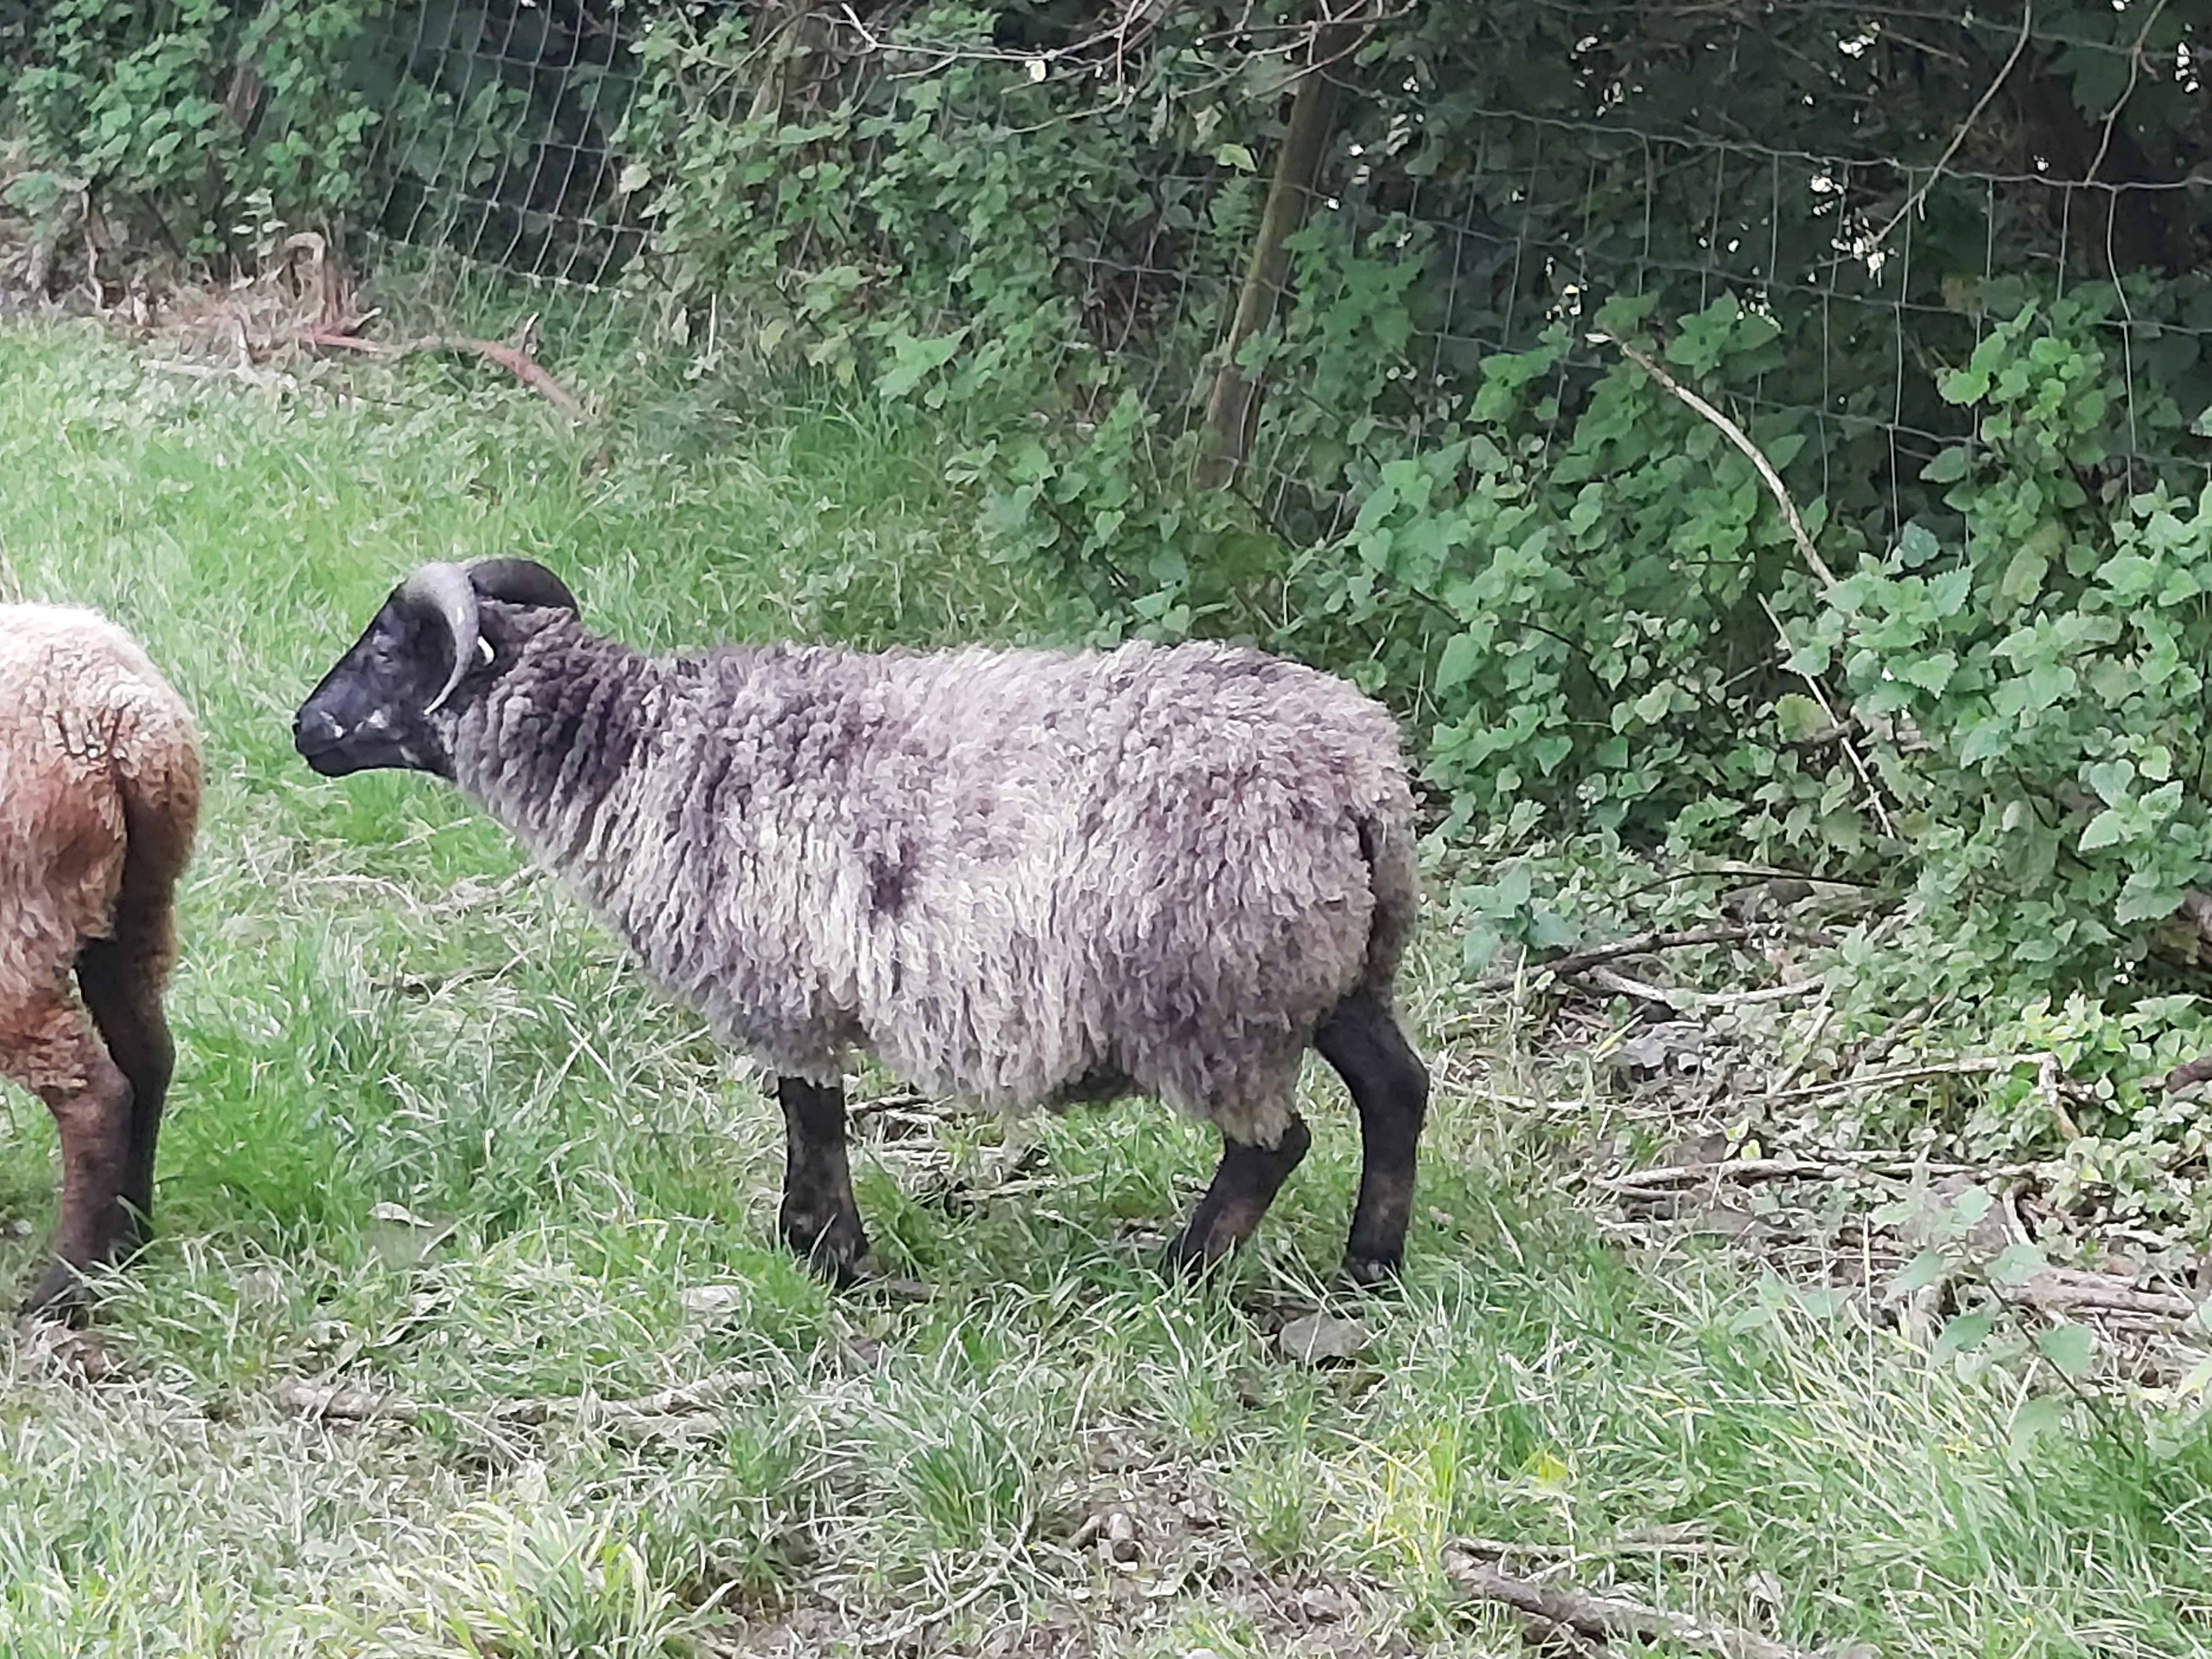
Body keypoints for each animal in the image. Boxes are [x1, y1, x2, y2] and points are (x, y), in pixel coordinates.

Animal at [0, 606, 201, 1318]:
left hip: (21, 929)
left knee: (96, 1097)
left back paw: (63, 1288)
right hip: (136, 905)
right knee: (149, 1058)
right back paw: (129, 1239)